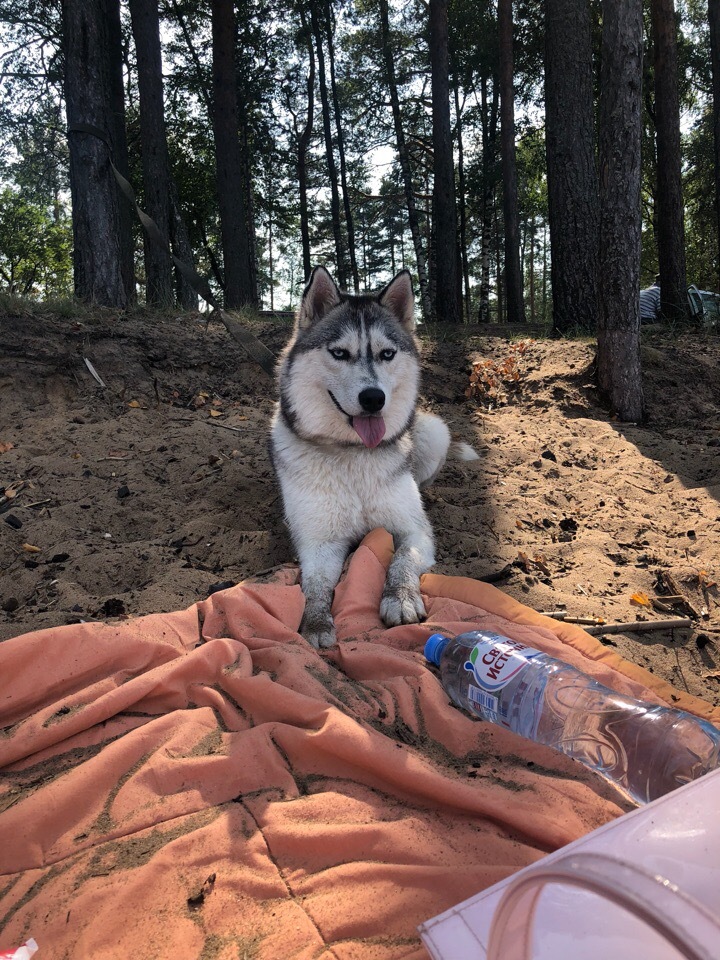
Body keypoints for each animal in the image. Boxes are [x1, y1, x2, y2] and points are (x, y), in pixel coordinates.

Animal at [268, 266, 476, 648]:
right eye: (339, 353)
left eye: (387, 354)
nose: (373, 398)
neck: (353, 454)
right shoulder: (319, 542)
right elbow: (314, 586)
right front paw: (316, 622)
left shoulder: (414, 530)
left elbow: (403, 559)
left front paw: (401, 597)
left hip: (435, 431)